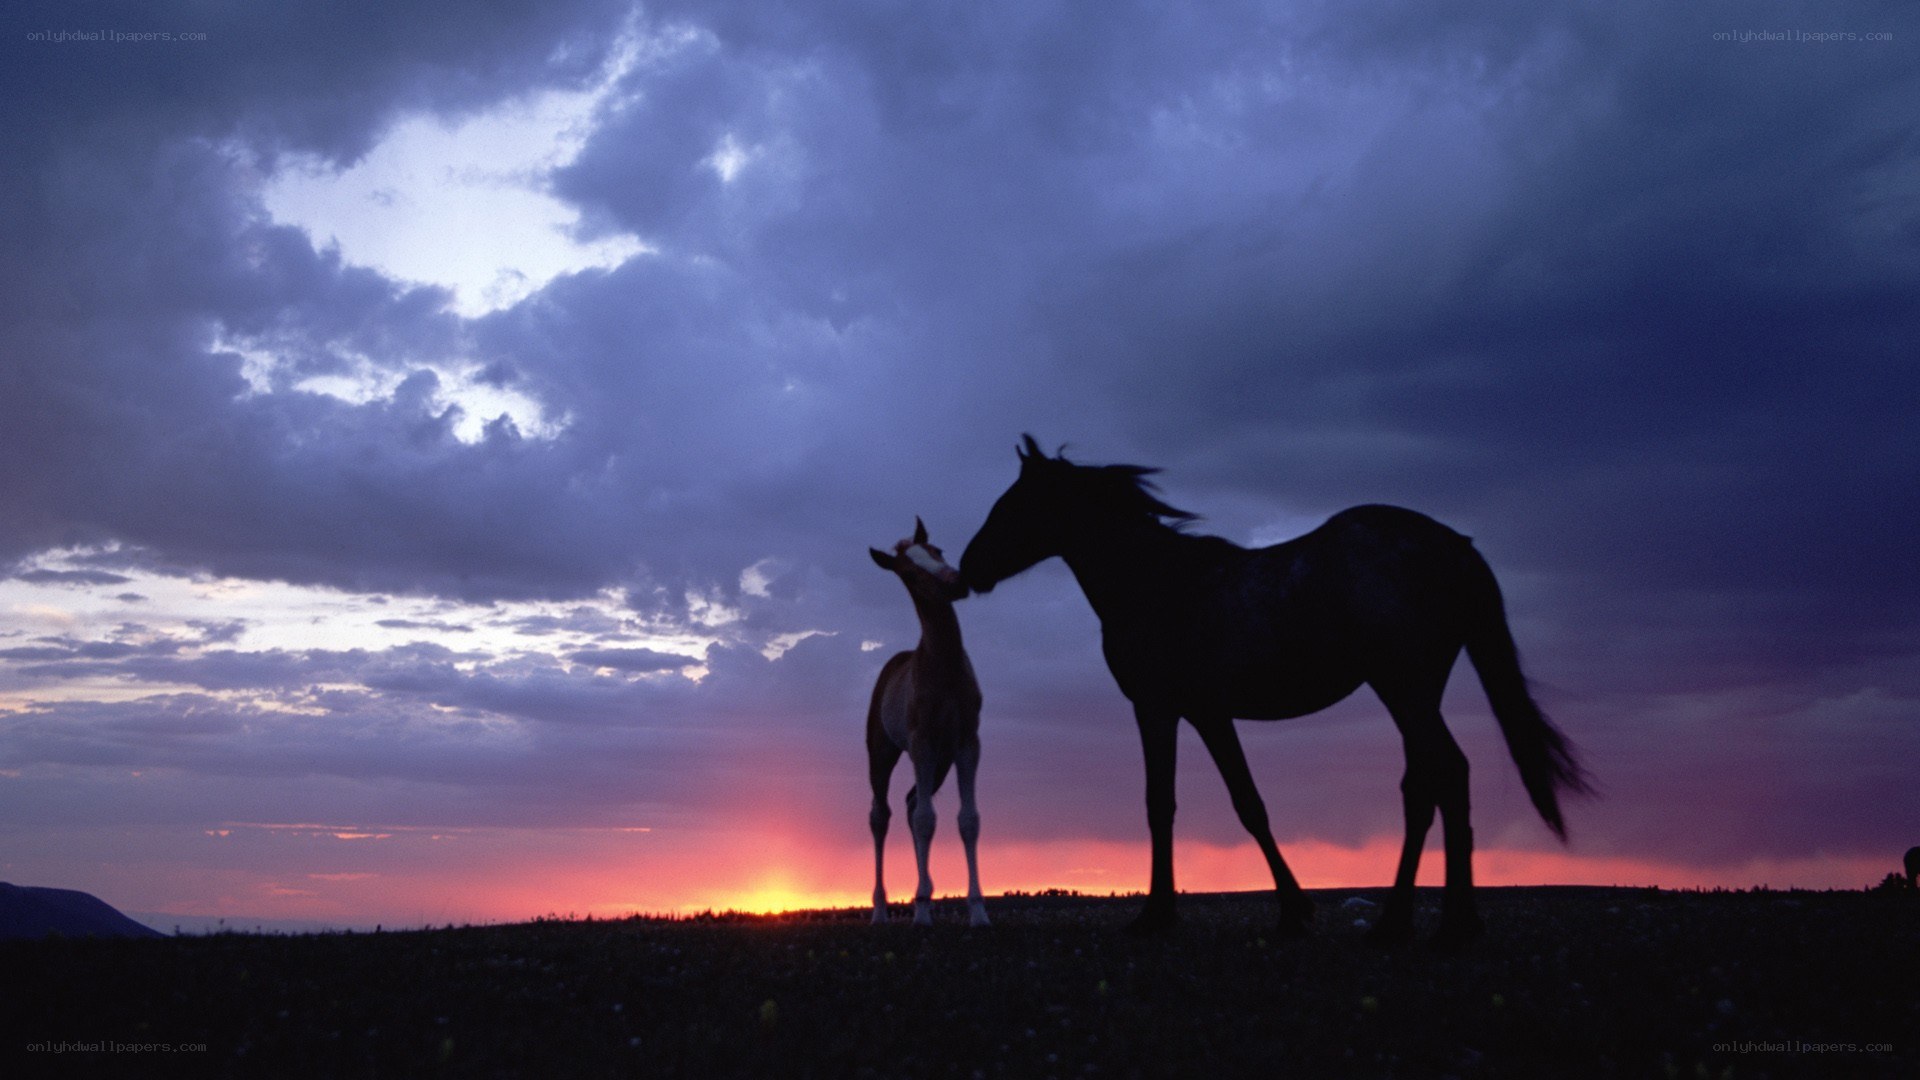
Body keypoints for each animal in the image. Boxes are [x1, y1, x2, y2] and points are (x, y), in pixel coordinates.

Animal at [866, 518, 990, 927]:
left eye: (938, 551)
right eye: (908, 572)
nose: (955, 581)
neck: (945, 667)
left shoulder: (967, 742)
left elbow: (967, 820)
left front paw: (978, 911)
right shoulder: (921, 741)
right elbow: (925, 819)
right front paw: (920, 914)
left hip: (940, 760)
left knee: (910, 803)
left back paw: (925, 894)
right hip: (883, 752)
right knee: (882, 815)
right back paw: (882, 910)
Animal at [959, 436, 1590, 946]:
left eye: (1014, 504)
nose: (968, 566)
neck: (1155, 583)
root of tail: (1455, 545)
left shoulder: (1157, 709)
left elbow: (1161, 805)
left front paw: (1157, 915)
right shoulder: (1208, 714)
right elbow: (1249, 805)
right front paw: (1291, 911)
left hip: (1404, 690)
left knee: (1447, 775)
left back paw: (1441, 924)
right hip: (1414, 694)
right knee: (1425, 785)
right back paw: (1412, 922)